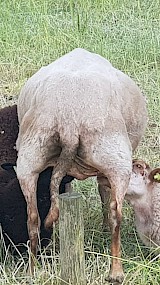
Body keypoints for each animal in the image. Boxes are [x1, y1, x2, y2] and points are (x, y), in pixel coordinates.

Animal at [16, 47, 148, 280]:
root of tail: (69, 118)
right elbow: (105, 195)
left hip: (29, 157)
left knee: (32, 218)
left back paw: (32, 271)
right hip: (116, 158)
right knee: (116, 214)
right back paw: (116, 271)